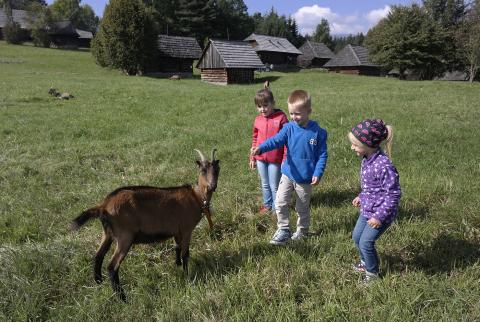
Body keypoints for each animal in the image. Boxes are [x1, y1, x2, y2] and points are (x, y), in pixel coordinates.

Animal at [70, 150, 220, 300]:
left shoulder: (177, 230)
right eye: (203, 170)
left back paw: (99, 282)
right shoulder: (187, 229)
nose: (212, 186)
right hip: (125, 236)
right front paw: (188, 275)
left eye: (217, 169)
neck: (196, 197)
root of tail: (104, 206)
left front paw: (177, 265)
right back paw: (123, 298)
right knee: (112, 266)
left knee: (98, 256)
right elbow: (185, 253)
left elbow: (177, 247)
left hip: (107, 233)